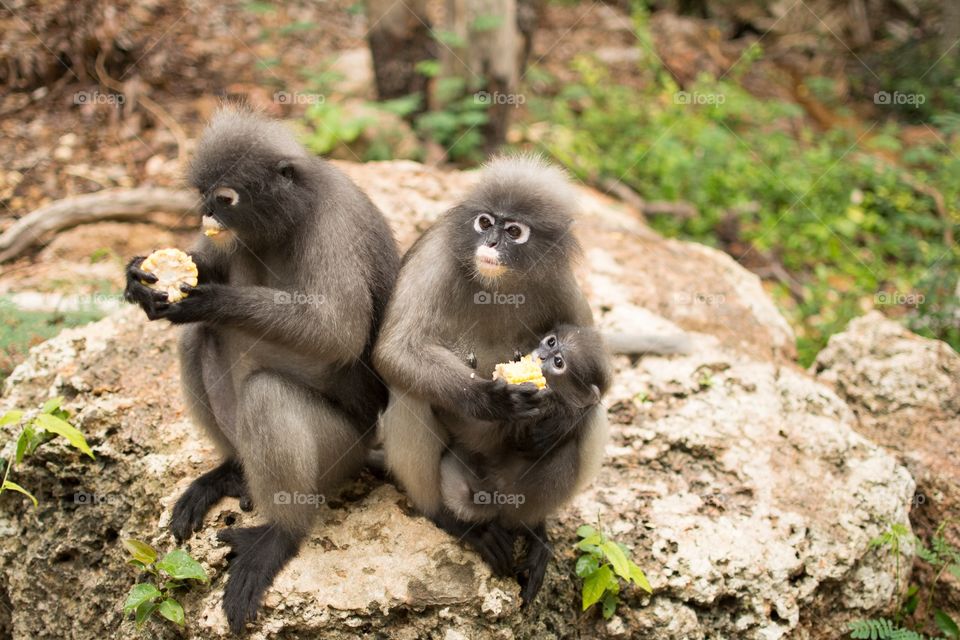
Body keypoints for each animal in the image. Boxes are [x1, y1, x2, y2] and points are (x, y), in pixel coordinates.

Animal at [123, 107, 400, 634]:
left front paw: (209, 299)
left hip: (341, 452)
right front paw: (140, 279)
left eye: (225, 199)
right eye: (203, 196)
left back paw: (279, 534)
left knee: (266, 391)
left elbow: (337, 332)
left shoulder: (334, 225)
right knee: (198, 337)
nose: (208, 217)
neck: (295, 215)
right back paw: (230, 471)